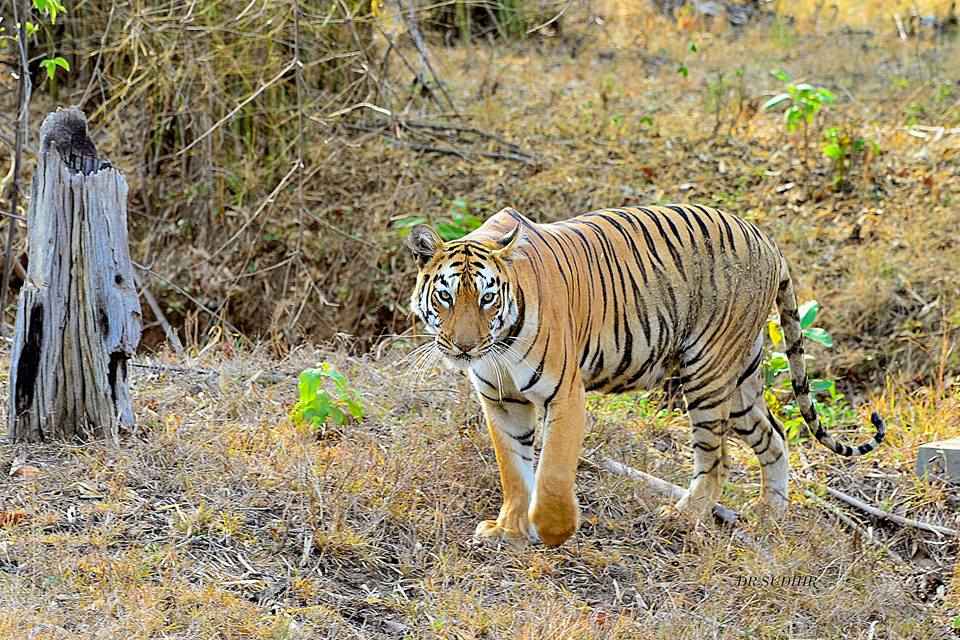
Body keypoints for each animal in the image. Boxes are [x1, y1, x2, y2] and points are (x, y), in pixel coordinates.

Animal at [406, 205, 885, 548]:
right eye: (446, 296)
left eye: (487, 298)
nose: (465, 346)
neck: (498, 349)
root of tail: (766, 239)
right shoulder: (501, 401)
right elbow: (513, 469)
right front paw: (508, 530)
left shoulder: (566, 395)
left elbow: (552, 470)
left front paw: (553, 531)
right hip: (742, 382)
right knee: (775, 436)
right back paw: (769, 514)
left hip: (708, 373)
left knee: (716, 459)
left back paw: (683, 517)